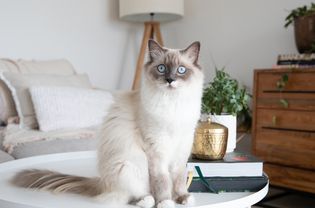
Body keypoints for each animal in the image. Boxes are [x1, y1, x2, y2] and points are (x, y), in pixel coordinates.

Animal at [11, 39, 205, 208]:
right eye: (162, 68)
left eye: (181, 70)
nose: (170, 80)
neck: (173, 104)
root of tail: (102, 182)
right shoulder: (157, 151)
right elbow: (162, 182)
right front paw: (166, 202)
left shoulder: (182, 148)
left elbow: (179, 179)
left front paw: (182, 198)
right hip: (129, 164)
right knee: (131, 196)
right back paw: (147, 200)